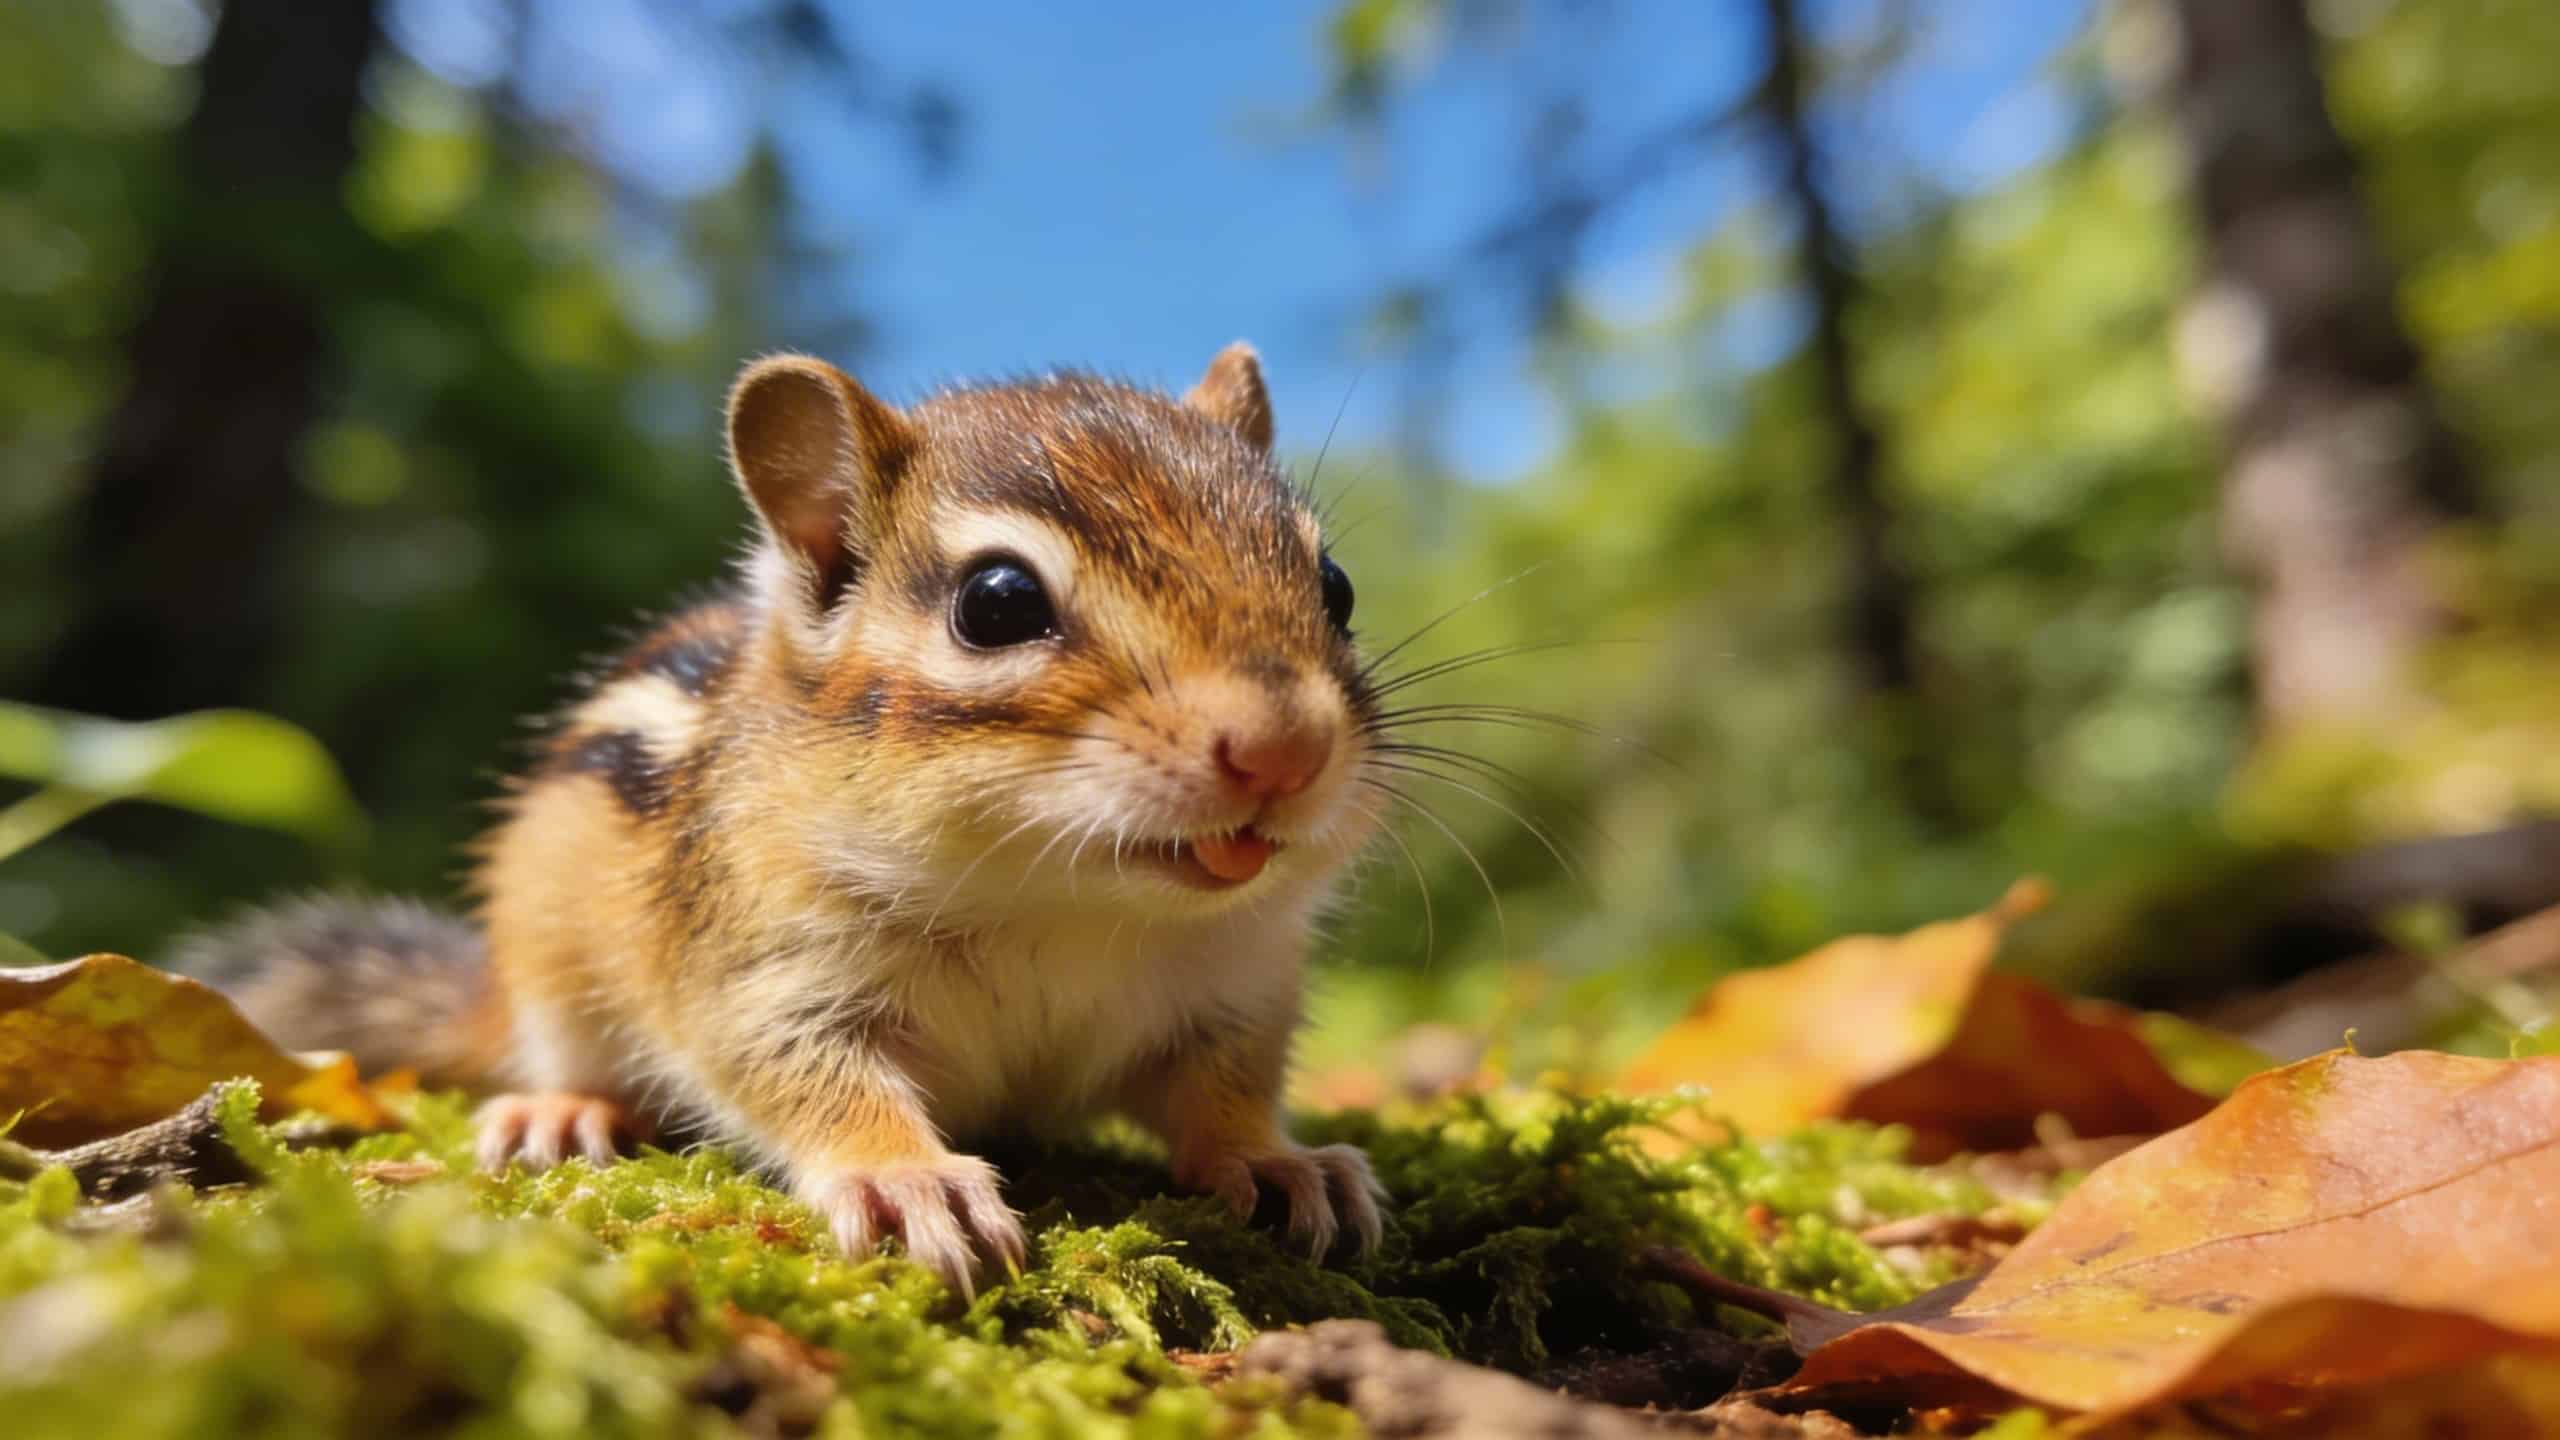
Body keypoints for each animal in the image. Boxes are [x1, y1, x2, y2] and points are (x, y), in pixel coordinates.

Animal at [178, 343, 1393, 1296]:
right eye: (998, 603)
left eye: (1334, 586)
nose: (1283, 750)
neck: (1065, 904)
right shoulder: (762, 964)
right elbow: (803, 1074)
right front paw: (907, 1180)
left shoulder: (1235, 992)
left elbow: (1223, 1091)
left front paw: (1279, 1159)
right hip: (554, 965)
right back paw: (561, 1111)